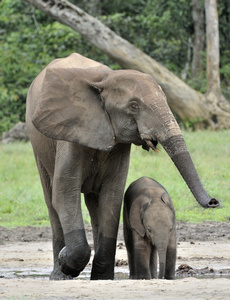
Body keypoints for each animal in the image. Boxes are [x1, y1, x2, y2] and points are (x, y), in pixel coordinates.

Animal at [25, 53, 219, 282]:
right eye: (134, 106)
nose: (214, 202)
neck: (104, 80)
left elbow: (112, 196)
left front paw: (101, 279)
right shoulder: (70, 133)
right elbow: (64, 193)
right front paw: (66, 263)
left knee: (94, 203)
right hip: (38, 143)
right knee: (51, 200)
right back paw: (58, 276)